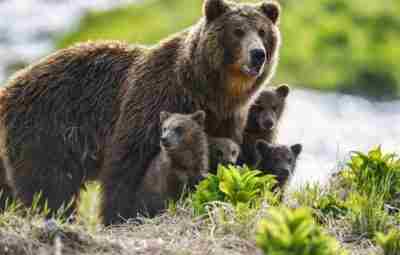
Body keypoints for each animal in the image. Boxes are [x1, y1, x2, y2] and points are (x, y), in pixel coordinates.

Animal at [0, 0, 282, 224]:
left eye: (262, 31)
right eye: (237, 31)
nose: (257, 54)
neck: (208, 91)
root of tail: (11, 84)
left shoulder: (227, 118)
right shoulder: (153, 100)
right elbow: (126, 166)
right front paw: (120, 216)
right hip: (49, 129)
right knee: (48, 185)